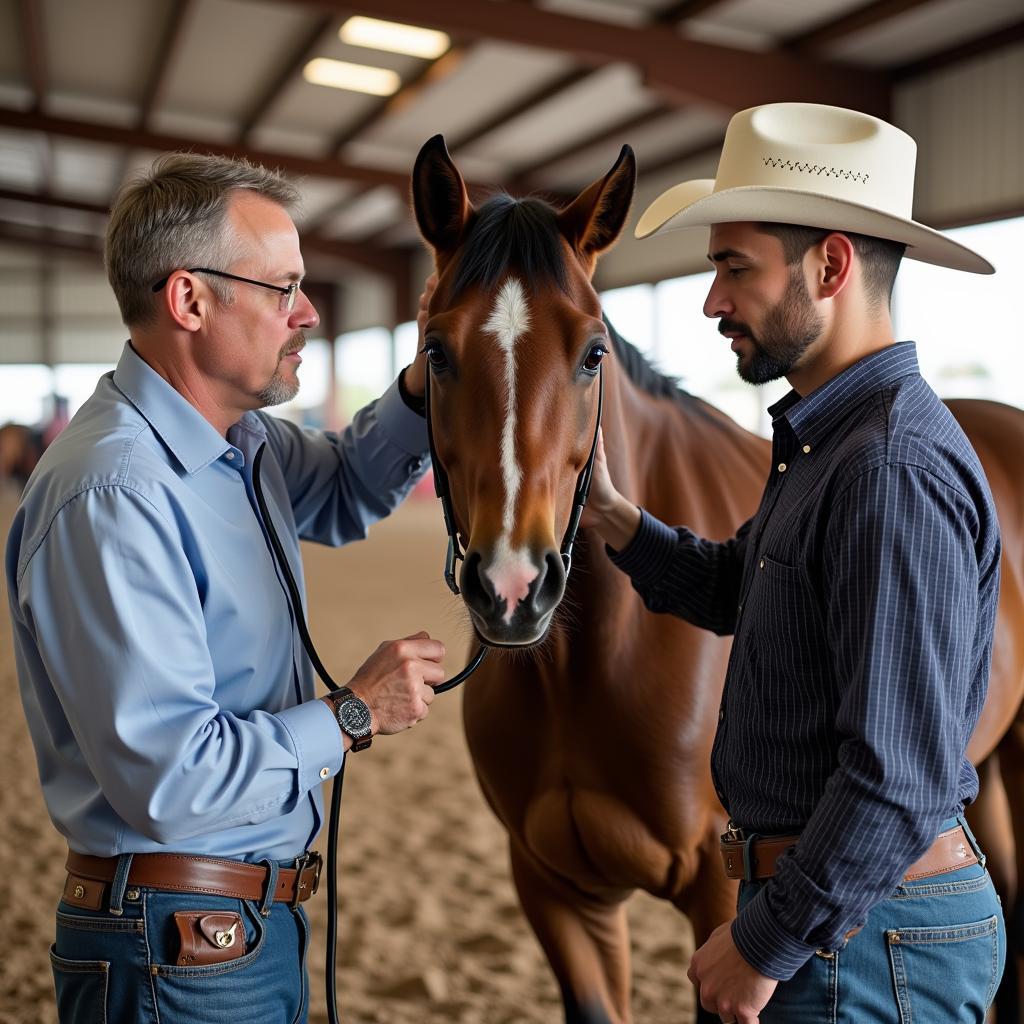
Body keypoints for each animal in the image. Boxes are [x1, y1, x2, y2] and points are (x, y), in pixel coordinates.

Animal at [407, 132, 1024, 1019]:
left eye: (592, 353)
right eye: (435, 349)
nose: (514, 588)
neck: (585, 665)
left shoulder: (715, 889)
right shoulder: (554, 888)